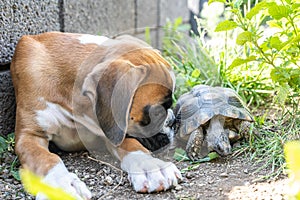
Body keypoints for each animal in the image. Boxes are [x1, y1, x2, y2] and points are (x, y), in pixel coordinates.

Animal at [10, 32, 182, 199]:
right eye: (157, 112)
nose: (173, 121)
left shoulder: (111, 130)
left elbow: (132, 144)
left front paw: (150, 166)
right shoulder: (28, 137)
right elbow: (46, 158)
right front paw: (62, 185)